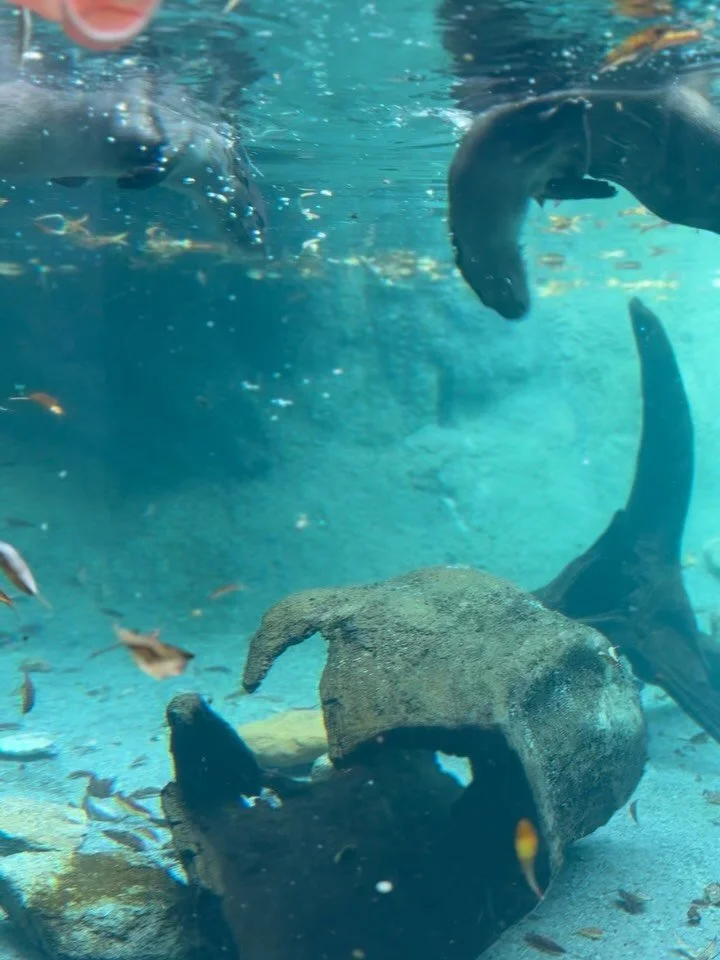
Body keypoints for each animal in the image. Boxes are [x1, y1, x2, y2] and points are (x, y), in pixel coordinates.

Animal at [448, 82, 720, 319]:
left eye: (491, 288)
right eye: (485, 300)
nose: (516, 312)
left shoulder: (510, 135)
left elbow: (549, 127)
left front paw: (575, 108)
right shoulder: (535, 174)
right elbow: (559, 180)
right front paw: (601, 186)